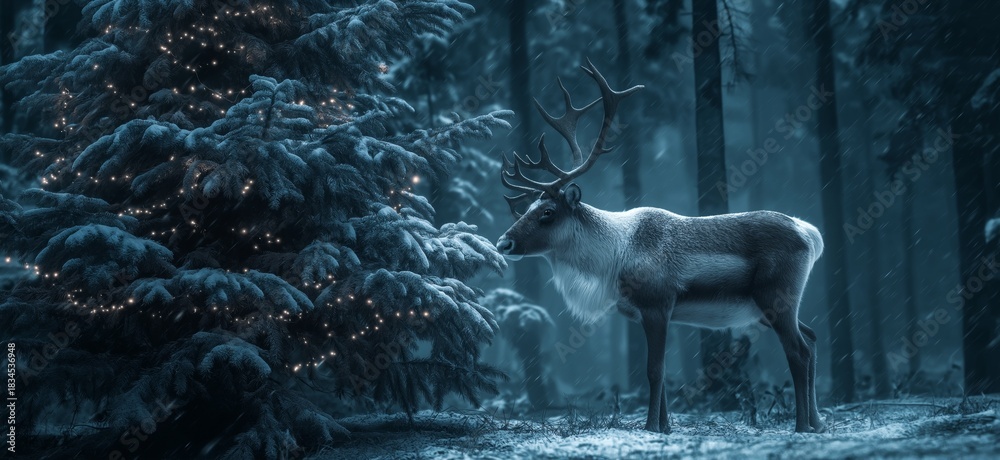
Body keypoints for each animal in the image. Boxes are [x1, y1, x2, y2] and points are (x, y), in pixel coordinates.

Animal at [495, 61, 826, 434]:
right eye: (527, 208)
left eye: (548, 213)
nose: (504, 241)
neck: (613, 258)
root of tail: (810, 234)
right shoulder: (645, 313)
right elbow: (663, 374)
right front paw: (665, 427)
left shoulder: (658, 304)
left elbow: (655, 371)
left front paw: (651, 427)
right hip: (770, 307)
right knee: (812, 339)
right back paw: (818, 423)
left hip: (776, 296)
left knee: (799, 351)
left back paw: (802, 426)